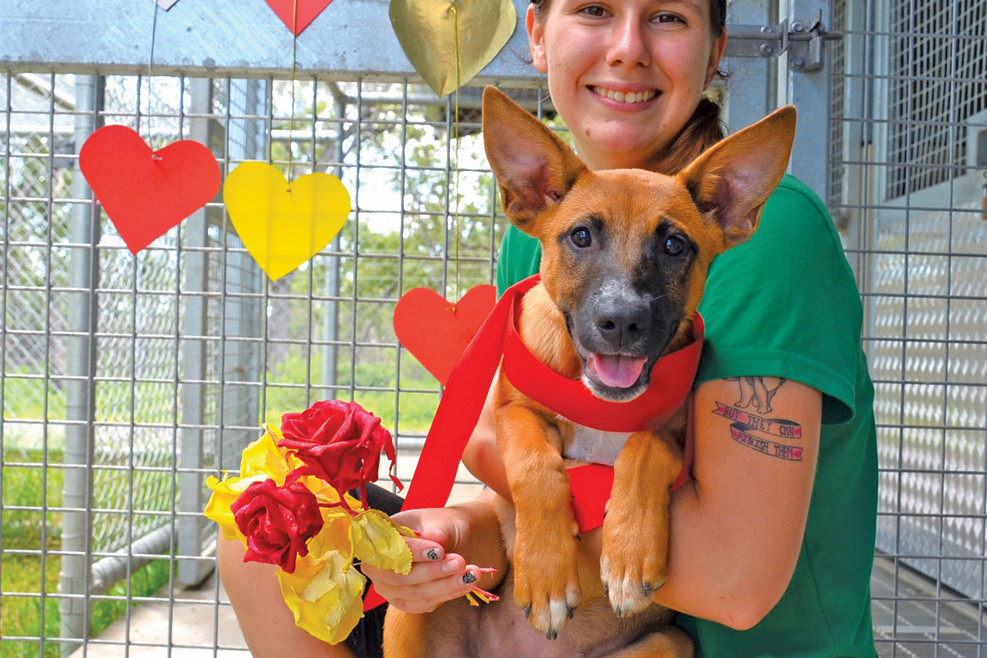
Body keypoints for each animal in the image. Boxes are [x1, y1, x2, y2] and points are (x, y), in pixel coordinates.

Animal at [382, 87, 800, 656]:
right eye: (580, 236)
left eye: (674, 245)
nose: (621, 321)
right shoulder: (514, 412)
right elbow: (535, 464)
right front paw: (547, 574)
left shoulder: (679, 440)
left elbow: (647, 446)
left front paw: (628, 555)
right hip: (408, 619)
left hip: (668, 642)